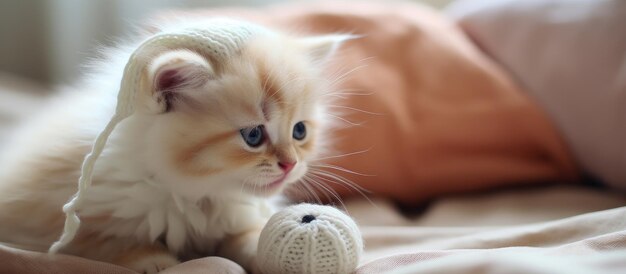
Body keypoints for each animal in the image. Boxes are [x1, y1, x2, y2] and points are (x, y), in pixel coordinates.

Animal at [0, 19, 346, 274]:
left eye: (299, 131)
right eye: (253, 136)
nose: (290, 164)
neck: (195, 193)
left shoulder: (236, 216)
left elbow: (252, 236)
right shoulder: (51, 223)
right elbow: (107, 241)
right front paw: (156, 261)